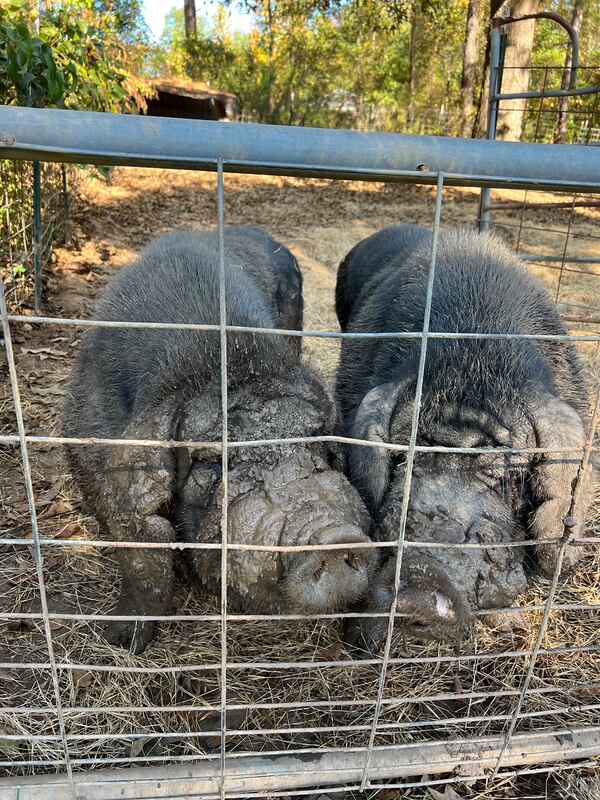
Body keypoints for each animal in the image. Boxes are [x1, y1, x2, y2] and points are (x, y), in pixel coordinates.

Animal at [64, 223, 376, 648]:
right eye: (211, 463)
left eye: (319, 443)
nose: (333, 534)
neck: (230, 363)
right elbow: (139, 555)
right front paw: (123, 641)